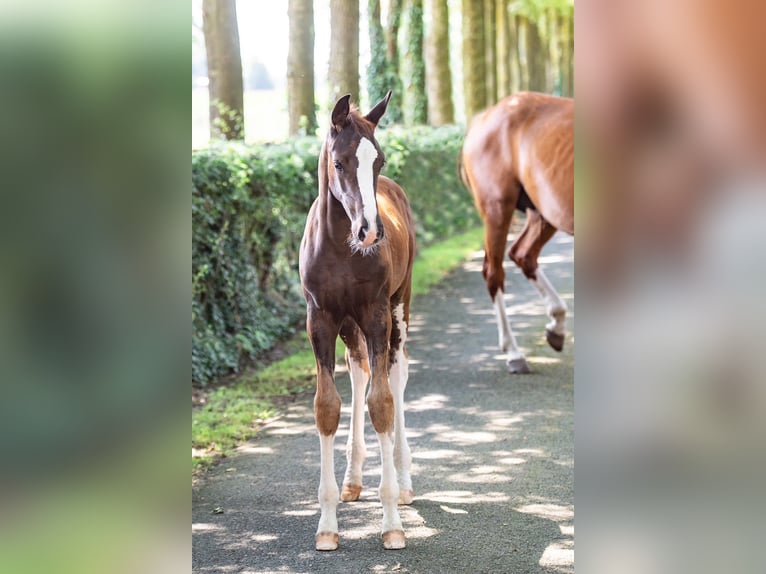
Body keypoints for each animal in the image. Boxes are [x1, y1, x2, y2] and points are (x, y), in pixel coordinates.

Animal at [302, 92, 420, 552]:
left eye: (379, 160)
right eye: (338, 162)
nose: (370, 231)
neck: (340, 246)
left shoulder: (374, 314)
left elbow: (382, 403)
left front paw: (391, 524)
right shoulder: (319, 319)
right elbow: (327, 407)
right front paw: (327, 525)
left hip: (398, 308)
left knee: (396, 373)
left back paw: (404, 482)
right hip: (349, 327)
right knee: (359, 371)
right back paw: (353, 481)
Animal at [460, 92, 572, 376]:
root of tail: (486, 116)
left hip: (544, 212)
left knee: (523, 254)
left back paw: (556, 325)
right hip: (498, 209)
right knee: (494, 272)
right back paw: (514, 353)